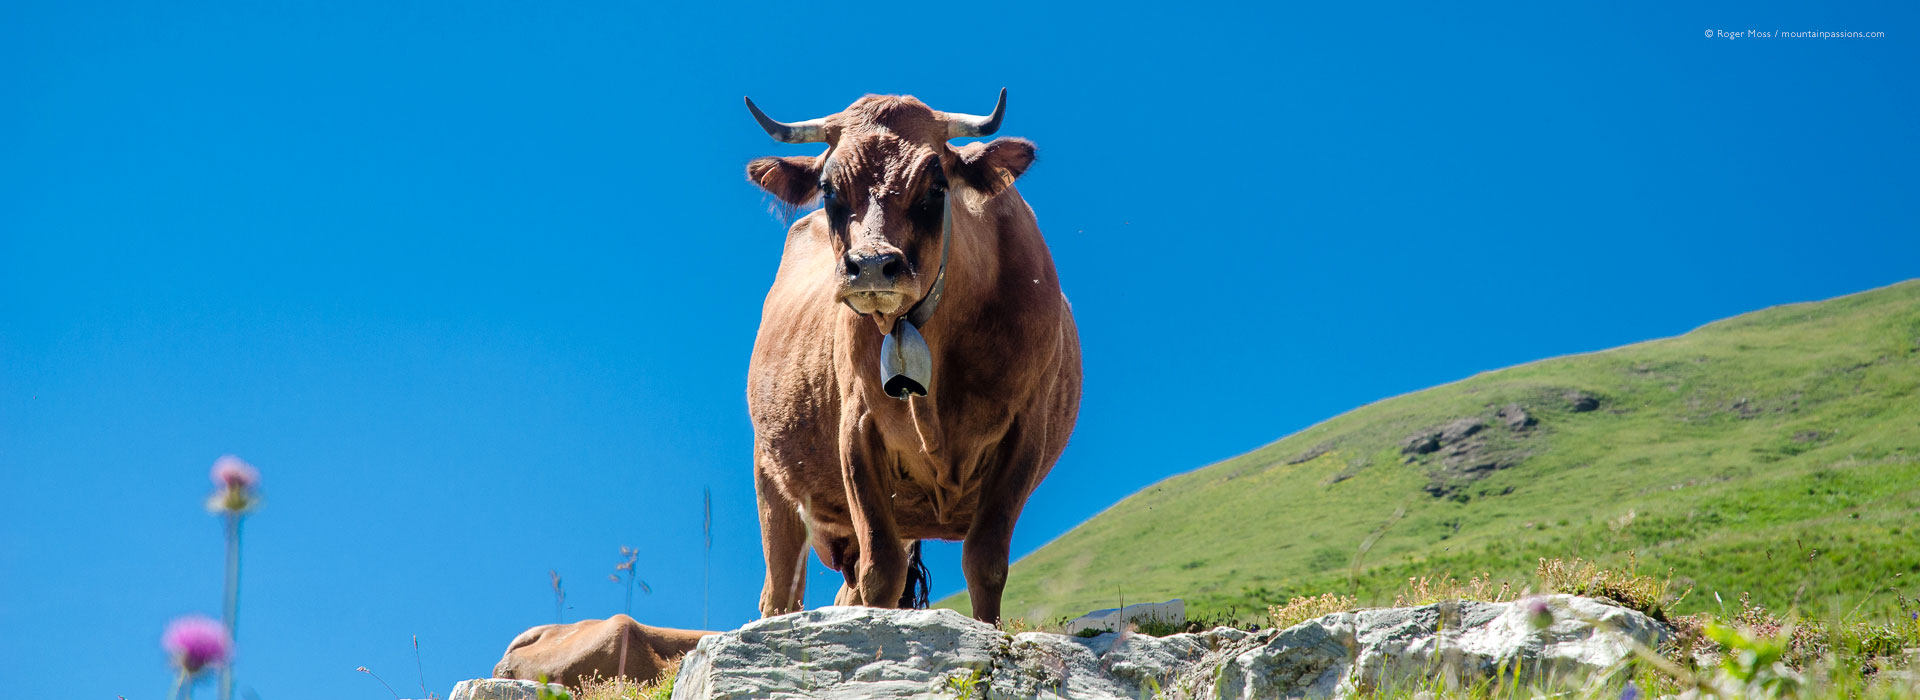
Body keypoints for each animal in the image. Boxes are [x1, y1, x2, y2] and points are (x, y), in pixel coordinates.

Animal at [737, 90, 1082, 617]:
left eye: (937, 185)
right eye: (828, 188)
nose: (872, 266)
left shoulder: (1026, 429)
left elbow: (986, 563)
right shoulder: (858, 430)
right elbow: (881, 570)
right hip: (771, 479)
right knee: (781, 591)